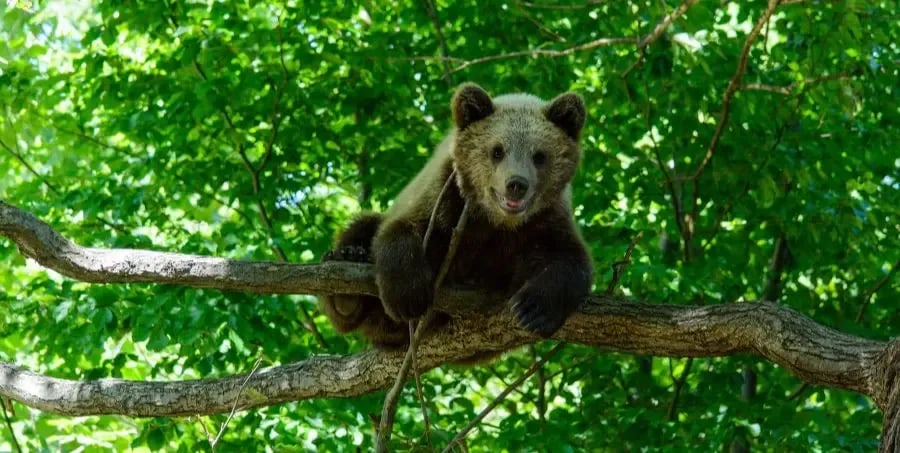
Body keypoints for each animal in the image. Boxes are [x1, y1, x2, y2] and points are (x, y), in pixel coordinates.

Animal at [319, 83, 593, 350]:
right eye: (497, 151)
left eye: (539, 155)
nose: (516, 184)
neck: (495, 220)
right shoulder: (443, 197)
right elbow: (400, 230)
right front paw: (408, 296)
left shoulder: (545, 220)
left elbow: (570, 261)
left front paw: (532, 309)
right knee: (363, 226)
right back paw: (348, 274)